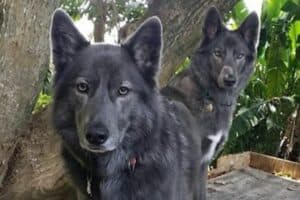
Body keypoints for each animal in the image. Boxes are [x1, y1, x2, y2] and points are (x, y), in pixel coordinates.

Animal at [163, 6, 258, 200]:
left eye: (239, 56)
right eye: (217, 53)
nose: (230, 80)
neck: (210, 97)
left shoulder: (203, 163)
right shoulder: (191, 165)